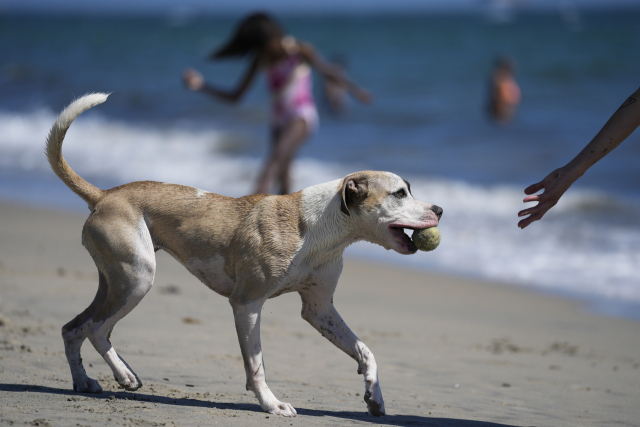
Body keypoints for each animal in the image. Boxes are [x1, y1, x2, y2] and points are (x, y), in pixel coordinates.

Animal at [47, 93, 442, 418]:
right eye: (399, 193)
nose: (439, 209)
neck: (320, 228)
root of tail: (105, 195)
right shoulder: (247, 304)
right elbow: (257, 365)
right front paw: (272, 404)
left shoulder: (319, 308)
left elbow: (365, 351)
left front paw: (374, 397)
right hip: (137, 279)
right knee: (97, 329)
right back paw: (125, 375)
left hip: (115, 281)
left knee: (74, 327)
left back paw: (84, 381)